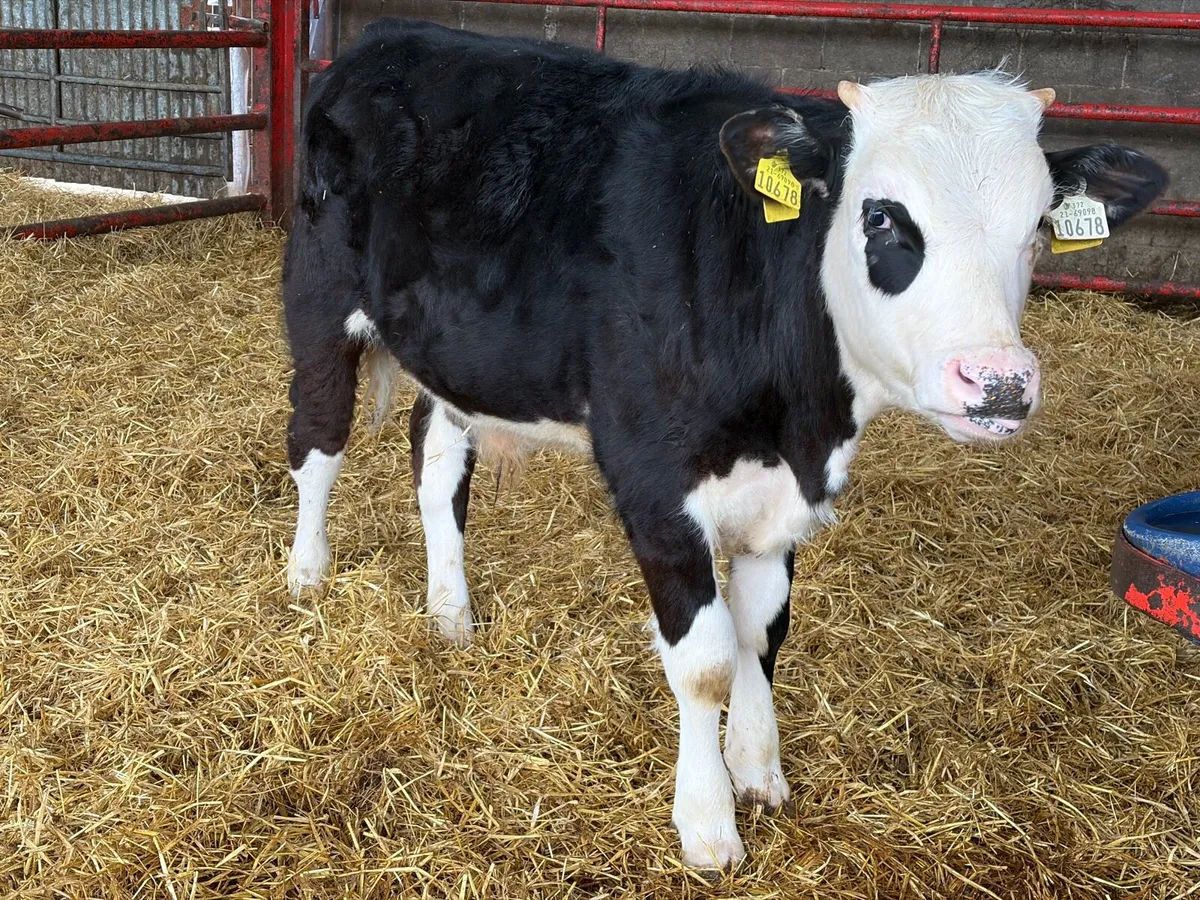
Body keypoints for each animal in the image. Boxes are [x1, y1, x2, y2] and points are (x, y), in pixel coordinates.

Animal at [281, 19, 1167, 870]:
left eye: (1040, 225)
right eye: (881, 215)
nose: (999, 381)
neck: (797, 414)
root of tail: (386, 41)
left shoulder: (781, 498)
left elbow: (760, 636)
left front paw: (757, 769)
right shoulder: (653, 484)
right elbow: (705, 659)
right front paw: (706, 824)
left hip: (453, 356)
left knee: (435, 467)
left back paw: (451, 613)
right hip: (320, 305)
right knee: (317, 445)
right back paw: (306, 573)